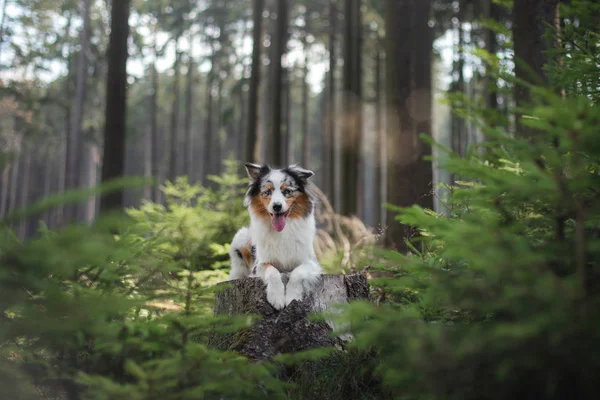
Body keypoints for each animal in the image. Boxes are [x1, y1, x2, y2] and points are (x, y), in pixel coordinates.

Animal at [229, 162, 324, 310]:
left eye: (287, 191)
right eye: (267, 192)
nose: (277, 206)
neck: (282, 231)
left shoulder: (311, 263)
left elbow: (297, 273)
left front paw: (291, 297)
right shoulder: (260, 264)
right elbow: (273, 272)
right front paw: (277, 298)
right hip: (240, 239)